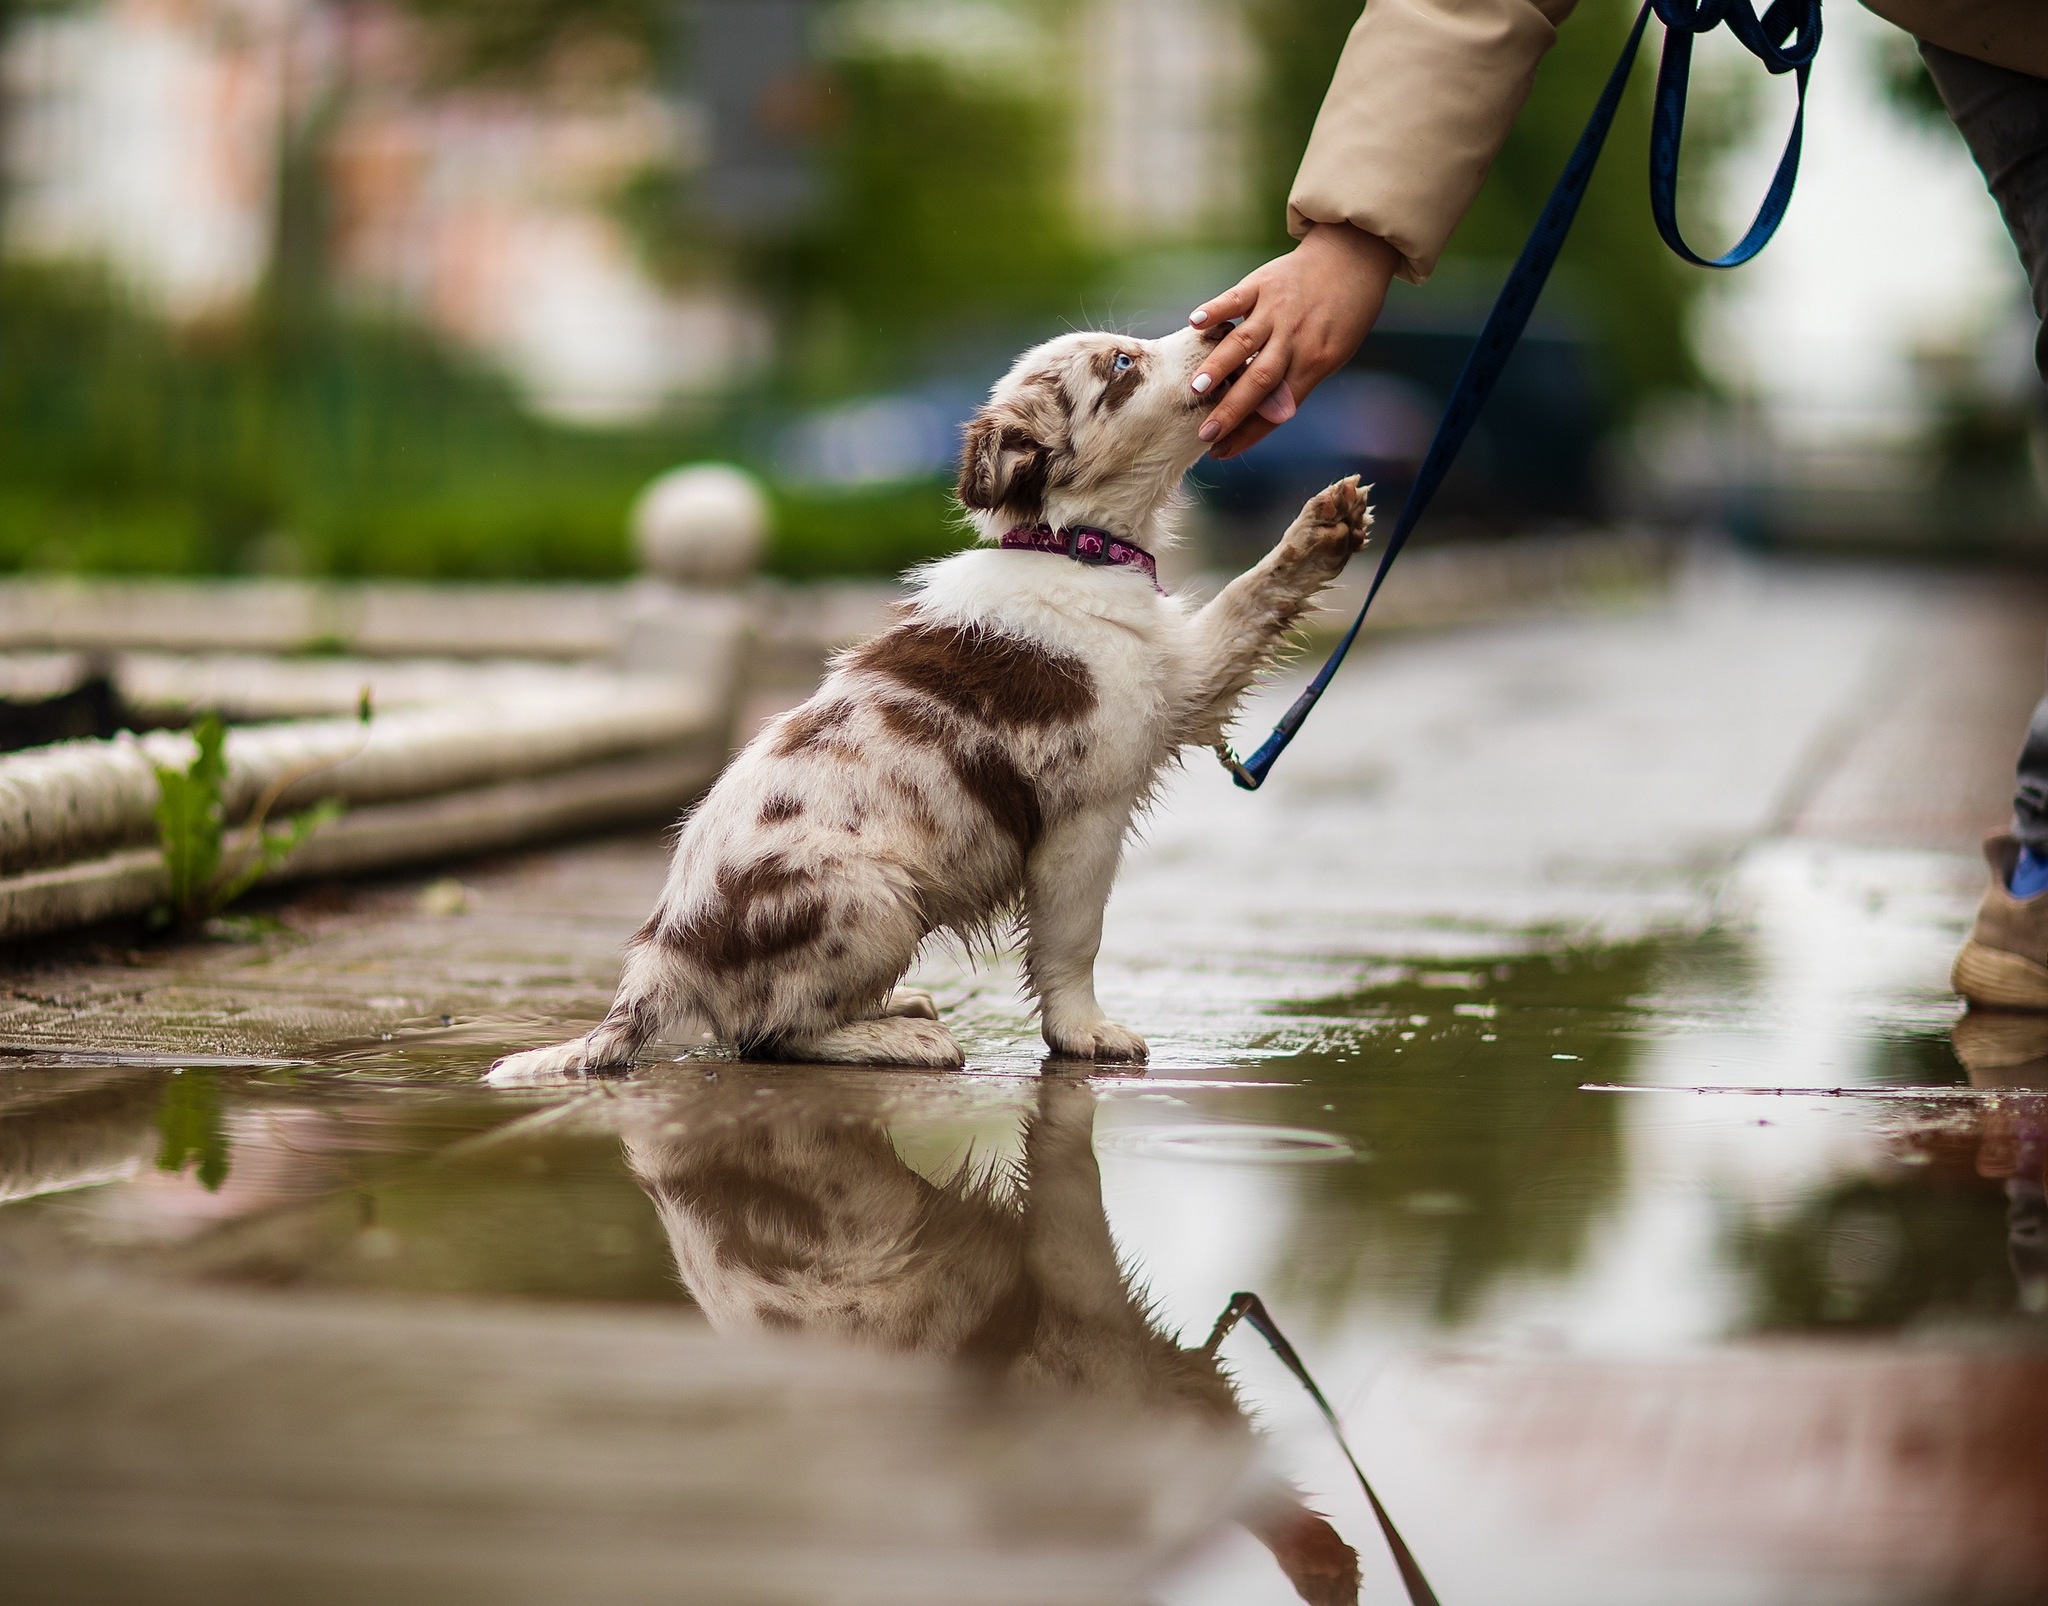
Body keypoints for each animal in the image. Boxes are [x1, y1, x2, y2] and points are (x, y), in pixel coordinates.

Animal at [487, 323, 1368, 1081]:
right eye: (1122, 364)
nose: (1225, 324)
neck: (1071, 549)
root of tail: (657, 965)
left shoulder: (1181, 682)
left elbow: (1247, 604)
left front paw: (1327, 526)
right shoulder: (1082, 820)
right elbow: (1073, 943)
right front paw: (1084, 1034)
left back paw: (897, 1006)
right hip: (875, 899)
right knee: (772, 1034)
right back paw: (902, 1040)